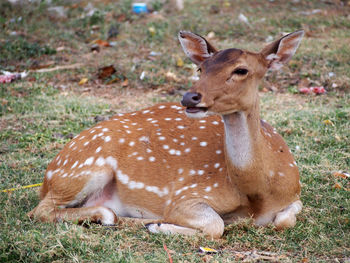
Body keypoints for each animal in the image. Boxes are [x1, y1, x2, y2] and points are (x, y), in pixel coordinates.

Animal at [28, 29, 304, 240]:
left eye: (241, 70)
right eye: (201, 69)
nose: (190, 96)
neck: (257, 192)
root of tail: (48, 177)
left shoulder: (295, 195)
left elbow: (284, 221)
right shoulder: (185, 196)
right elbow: (216, 225)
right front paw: (158, 225)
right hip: (83, 168)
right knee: (40, 211)